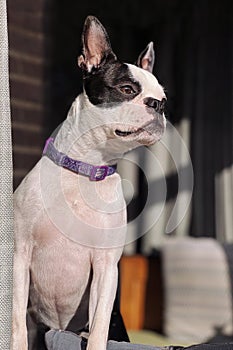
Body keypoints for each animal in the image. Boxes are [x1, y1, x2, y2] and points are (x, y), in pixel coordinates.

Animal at [11, 15, 167, 350]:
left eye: (164, 97)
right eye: (126, 89)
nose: (158, 105)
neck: (85, 170)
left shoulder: (106, 266)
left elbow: (98, 327)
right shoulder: (20, 254)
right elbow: (15, 321)